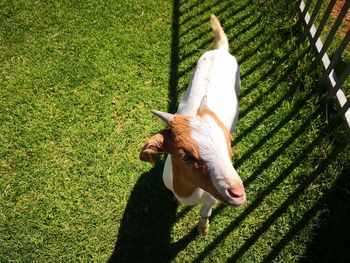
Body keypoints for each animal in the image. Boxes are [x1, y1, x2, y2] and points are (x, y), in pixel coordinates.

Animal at [140, 15, 246, 236]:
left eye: (229, 142)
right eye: (185, 156)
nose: (238, 192)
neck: (189, 194)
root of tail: (221, 50)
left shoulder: (212, 198)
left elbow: (205, 212)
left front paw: (203, 229)